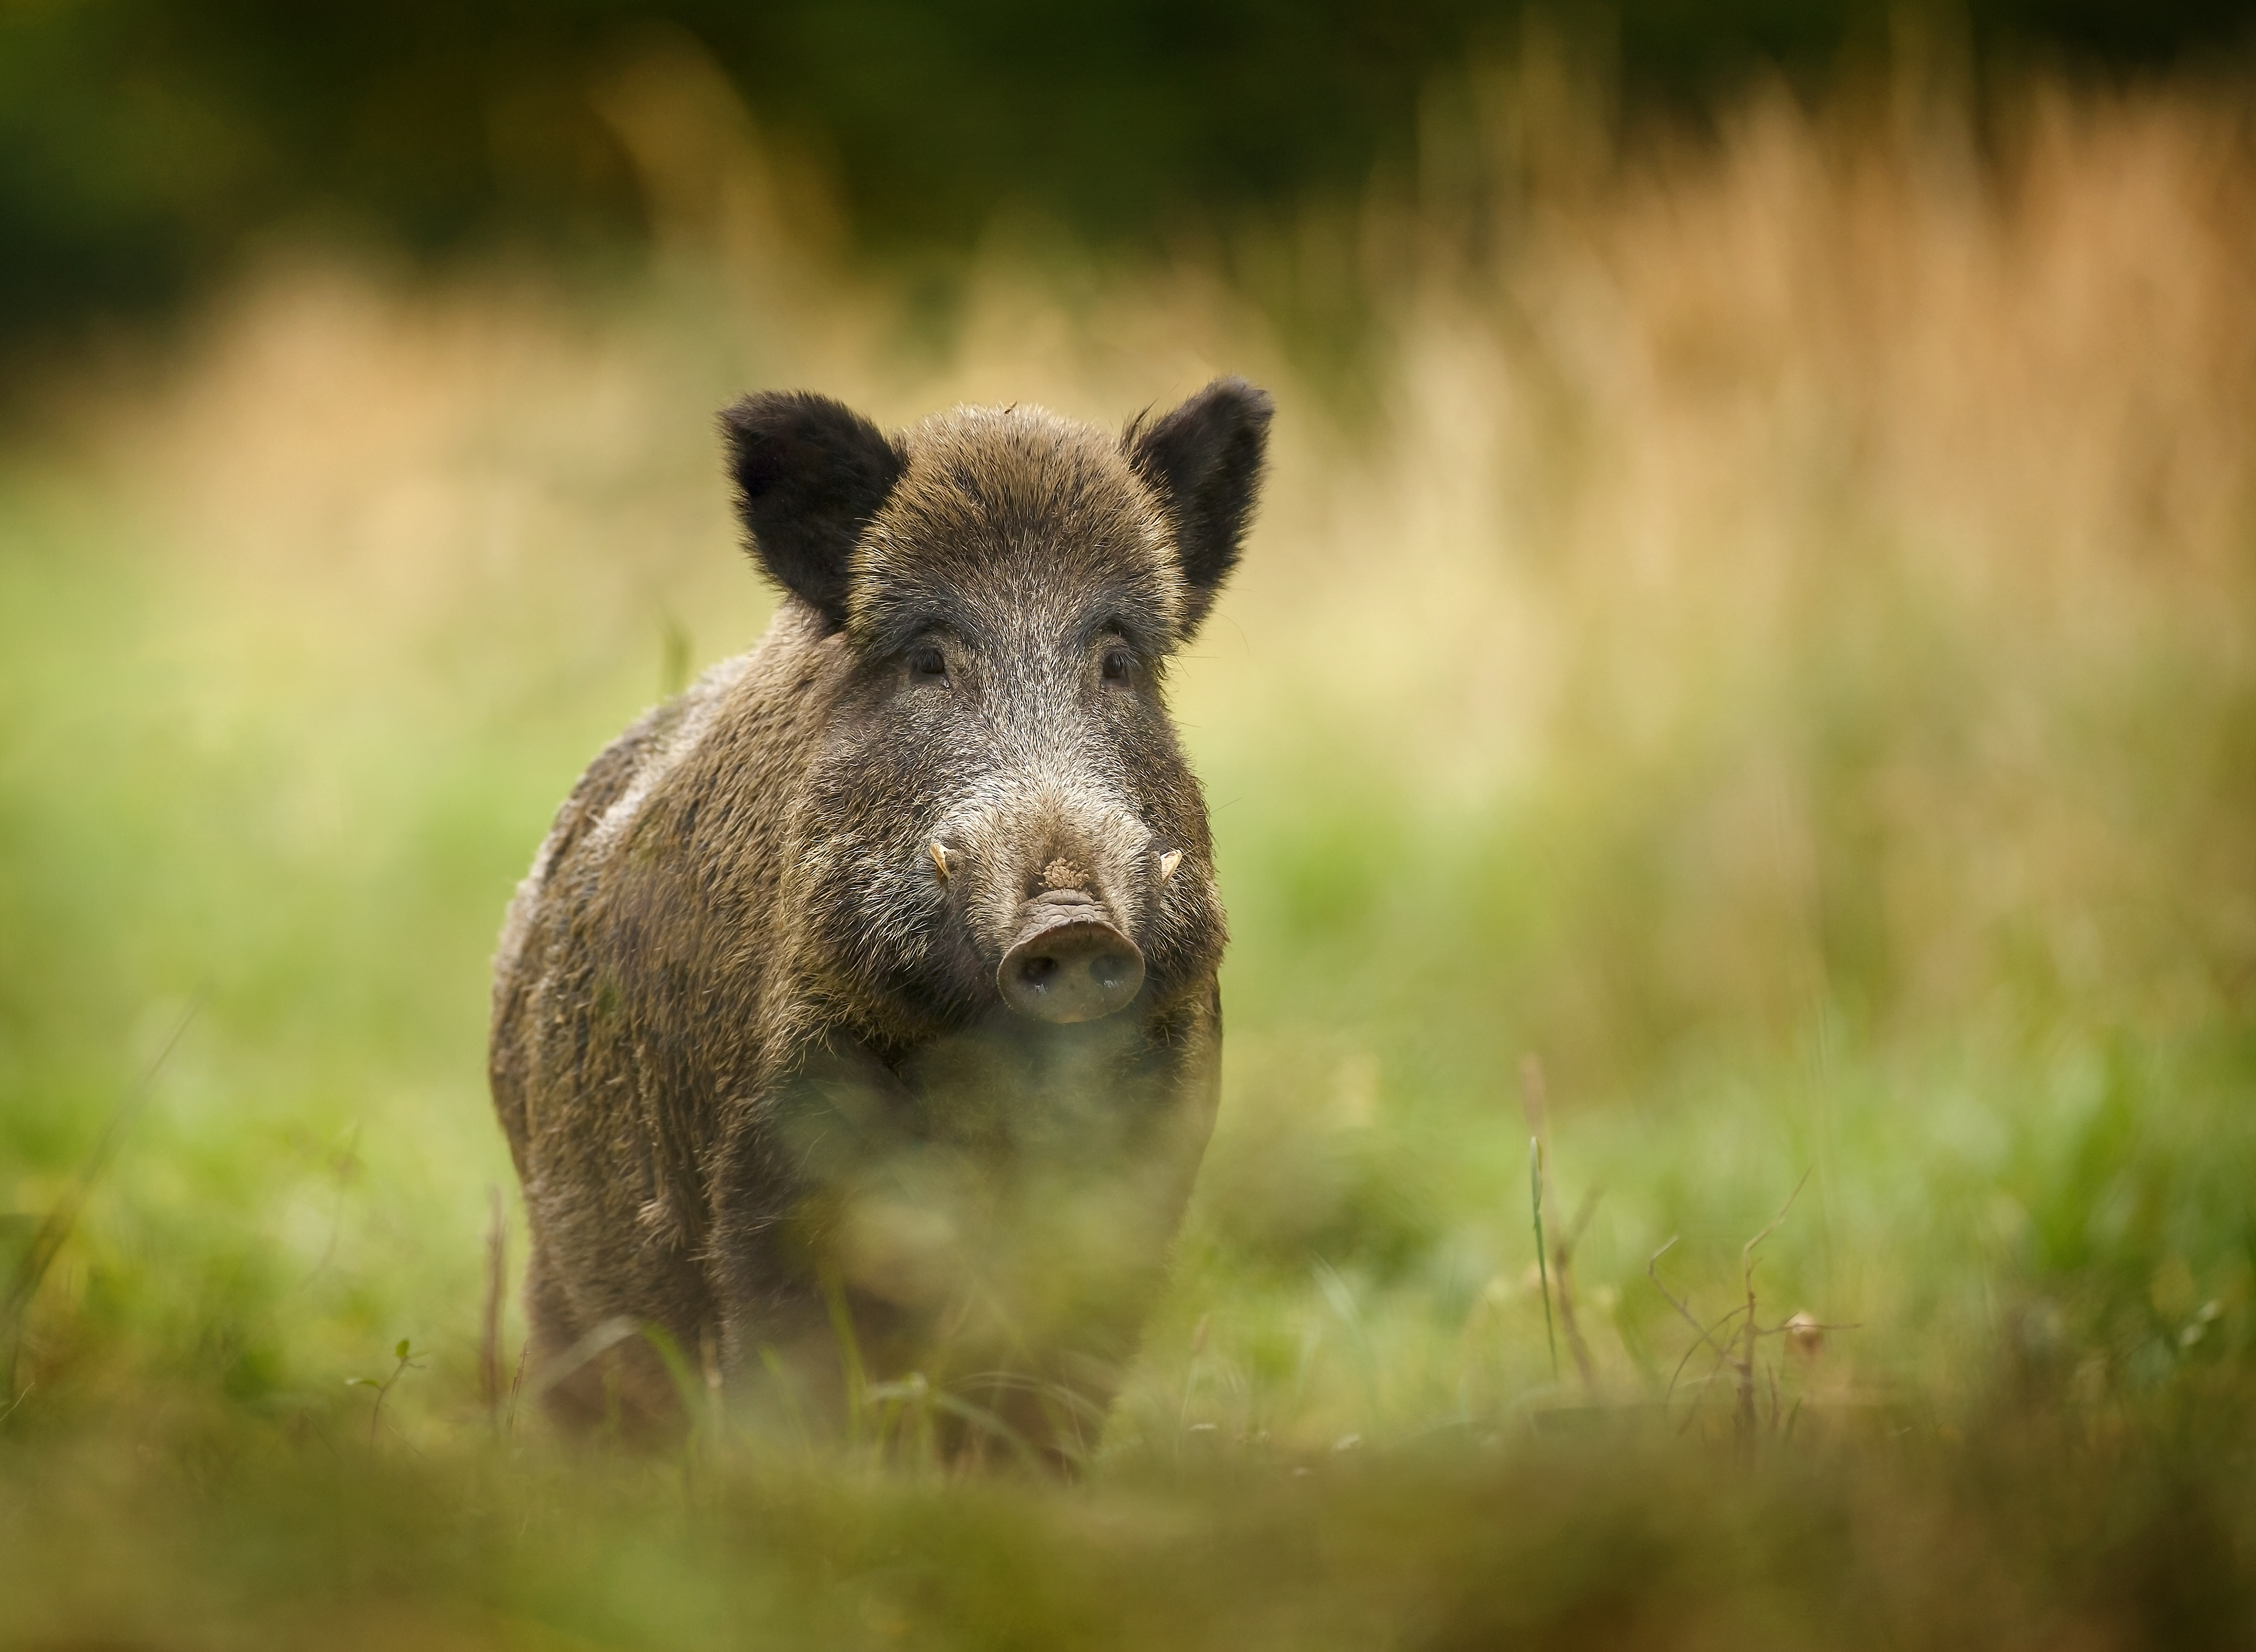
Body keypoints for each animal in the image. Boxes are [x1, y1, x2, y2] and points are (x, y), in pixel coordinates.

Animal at [488, 379, 1271, 1460]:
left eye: (1117, 661)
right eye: (929, 659)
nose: (1071, 922)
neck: (991, 1080)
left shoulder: (1144, 1169)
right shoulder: (769, 1171)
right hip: (564, 1285)